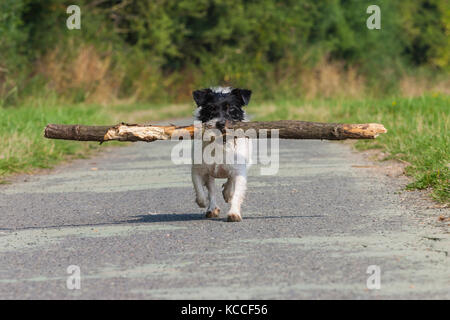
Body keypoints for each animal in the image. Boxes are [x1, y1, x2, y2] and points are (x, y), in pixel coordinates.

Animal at [191, 87, 251, 222]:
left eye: (232, 109)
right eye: (211, 108)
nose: (221, 123)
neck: (219, 142)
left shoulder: (239, 171)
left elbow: (237, 192)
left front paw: (234, 213)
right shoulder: (198, 169)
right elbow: (200, 189)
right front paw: (203, 203)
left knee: (230, 181)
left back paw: (227, 193)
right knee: (212, 189)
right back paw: (212, 208)